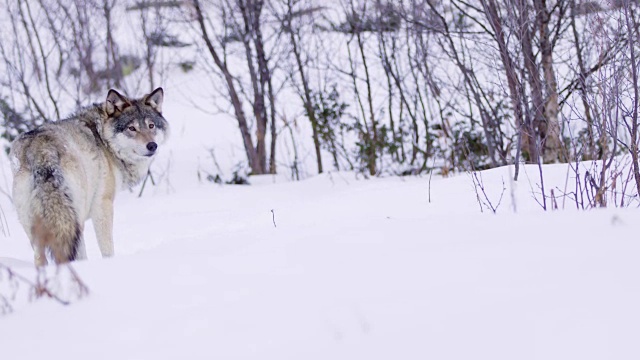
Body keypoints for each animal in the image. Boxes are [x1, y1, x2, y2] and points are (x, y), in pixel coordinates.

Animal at [10, 88, 169, 266]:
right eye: (131, 128)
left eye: (151, 126)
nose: (152, 145)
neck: (105, 141)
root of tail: (41, 150)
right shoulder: (102, 205)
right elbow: (107, 249)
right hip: (74, 219)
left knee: (39, 258)